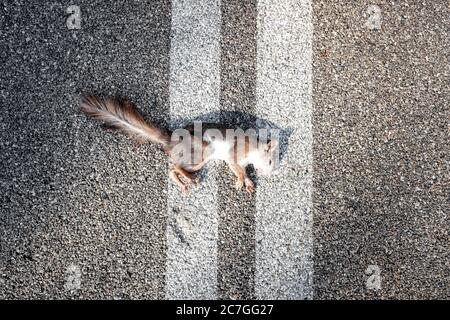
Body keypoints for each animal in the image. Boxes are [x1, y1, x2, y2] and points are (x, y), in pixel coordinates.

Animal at [81, 95, 278, 194]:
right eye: (270, 161)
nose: (267, 174)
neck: (253, 147)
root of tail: (172, 141)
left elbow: (243, 171)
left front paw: (249, 183)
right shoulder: (235, 154)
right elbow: (237, 169)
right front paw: (240, 182)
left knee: (172, 169)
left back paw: (186, 182)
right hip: (200, 154)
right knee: (174, 167)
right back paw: (189, 179)